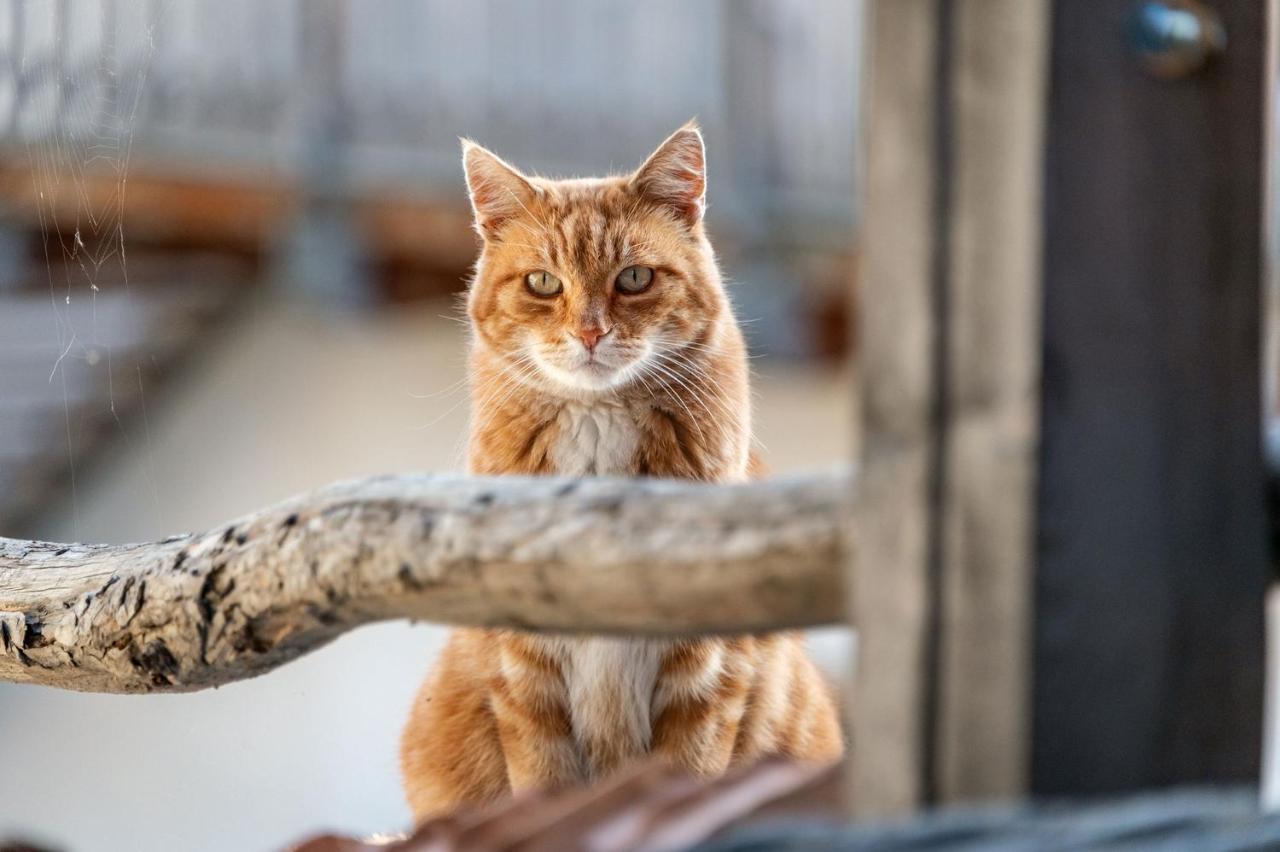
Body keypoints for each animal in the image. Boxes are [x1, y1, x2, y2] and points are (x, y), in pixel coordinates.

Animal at [399, 124, 839, 818]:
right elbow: (543, 784)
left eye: (634, 277)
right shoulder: (525, 679)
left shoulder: (707, 677)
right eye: (543, 283)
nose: (589, 333)